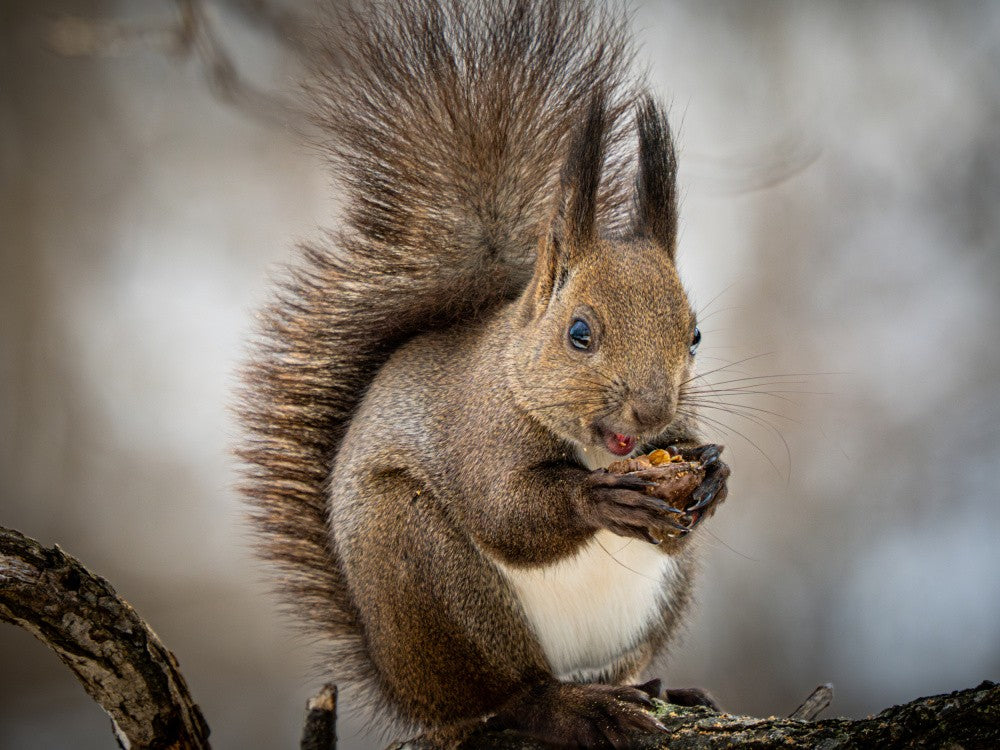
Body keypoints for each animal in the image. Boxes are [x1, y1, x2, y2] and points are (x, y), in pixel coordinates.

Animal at [237, 0, 731, 745]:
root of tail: (406, 688)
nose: (650, 412)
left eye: (695, 336)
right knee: (512, 694)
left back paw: (659, 688)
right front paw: (600, 500)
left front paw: (713, 481)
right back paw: (564, 707)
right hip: (426, 579)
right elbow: (505, 511)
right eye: (579, 333)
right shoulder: (481, 430)